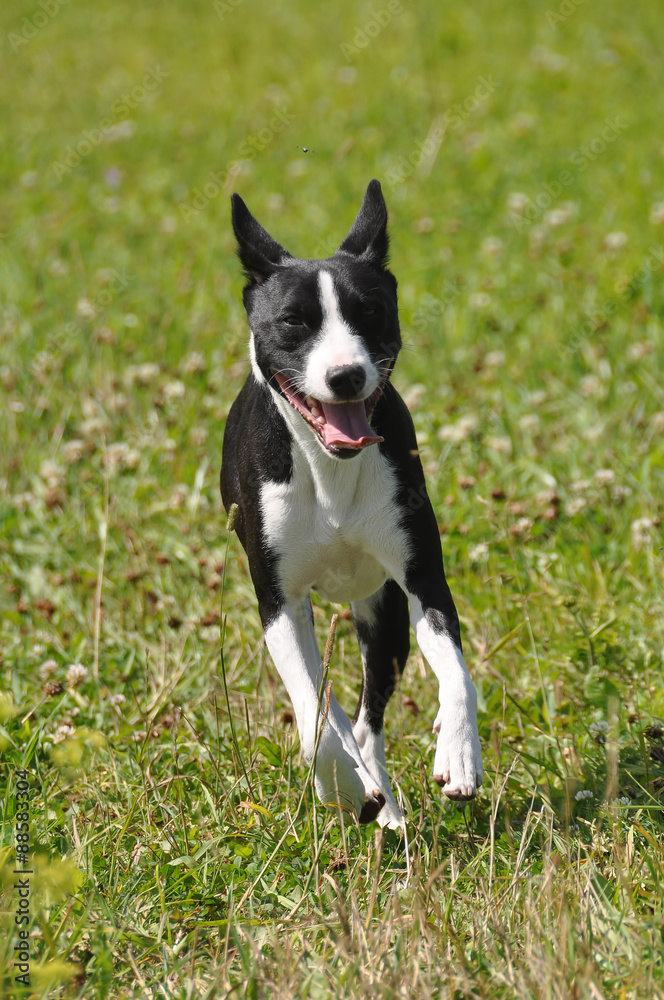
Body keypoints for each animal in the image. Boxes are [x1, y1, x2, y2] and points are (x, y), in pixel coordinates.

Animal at [223, 180, 482, 828]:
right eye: (293, 320)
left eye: (369, 312)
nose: (345, 376)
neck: (330, 471)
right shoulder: (279, 602)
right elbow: (314, 707)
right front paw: (339, 782)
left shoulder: (420, 578)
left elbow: (457, 674)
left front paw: (459, 752)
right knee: (336, 709)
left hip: (380, 611)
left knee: (369, 716)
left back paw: (388, 805)